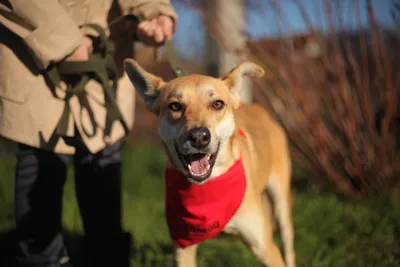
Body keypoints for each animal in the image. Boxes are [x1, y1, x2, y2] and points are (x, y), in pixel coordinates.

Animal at [123, 59, 296, 267]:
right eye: (175, 106)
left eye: (218, 104)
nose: (199, 137)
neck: (208, 188)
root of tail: (258, 108)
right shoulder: (183, 247)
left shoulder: (265, 248)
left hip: (280, 200)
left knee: (288, 242)